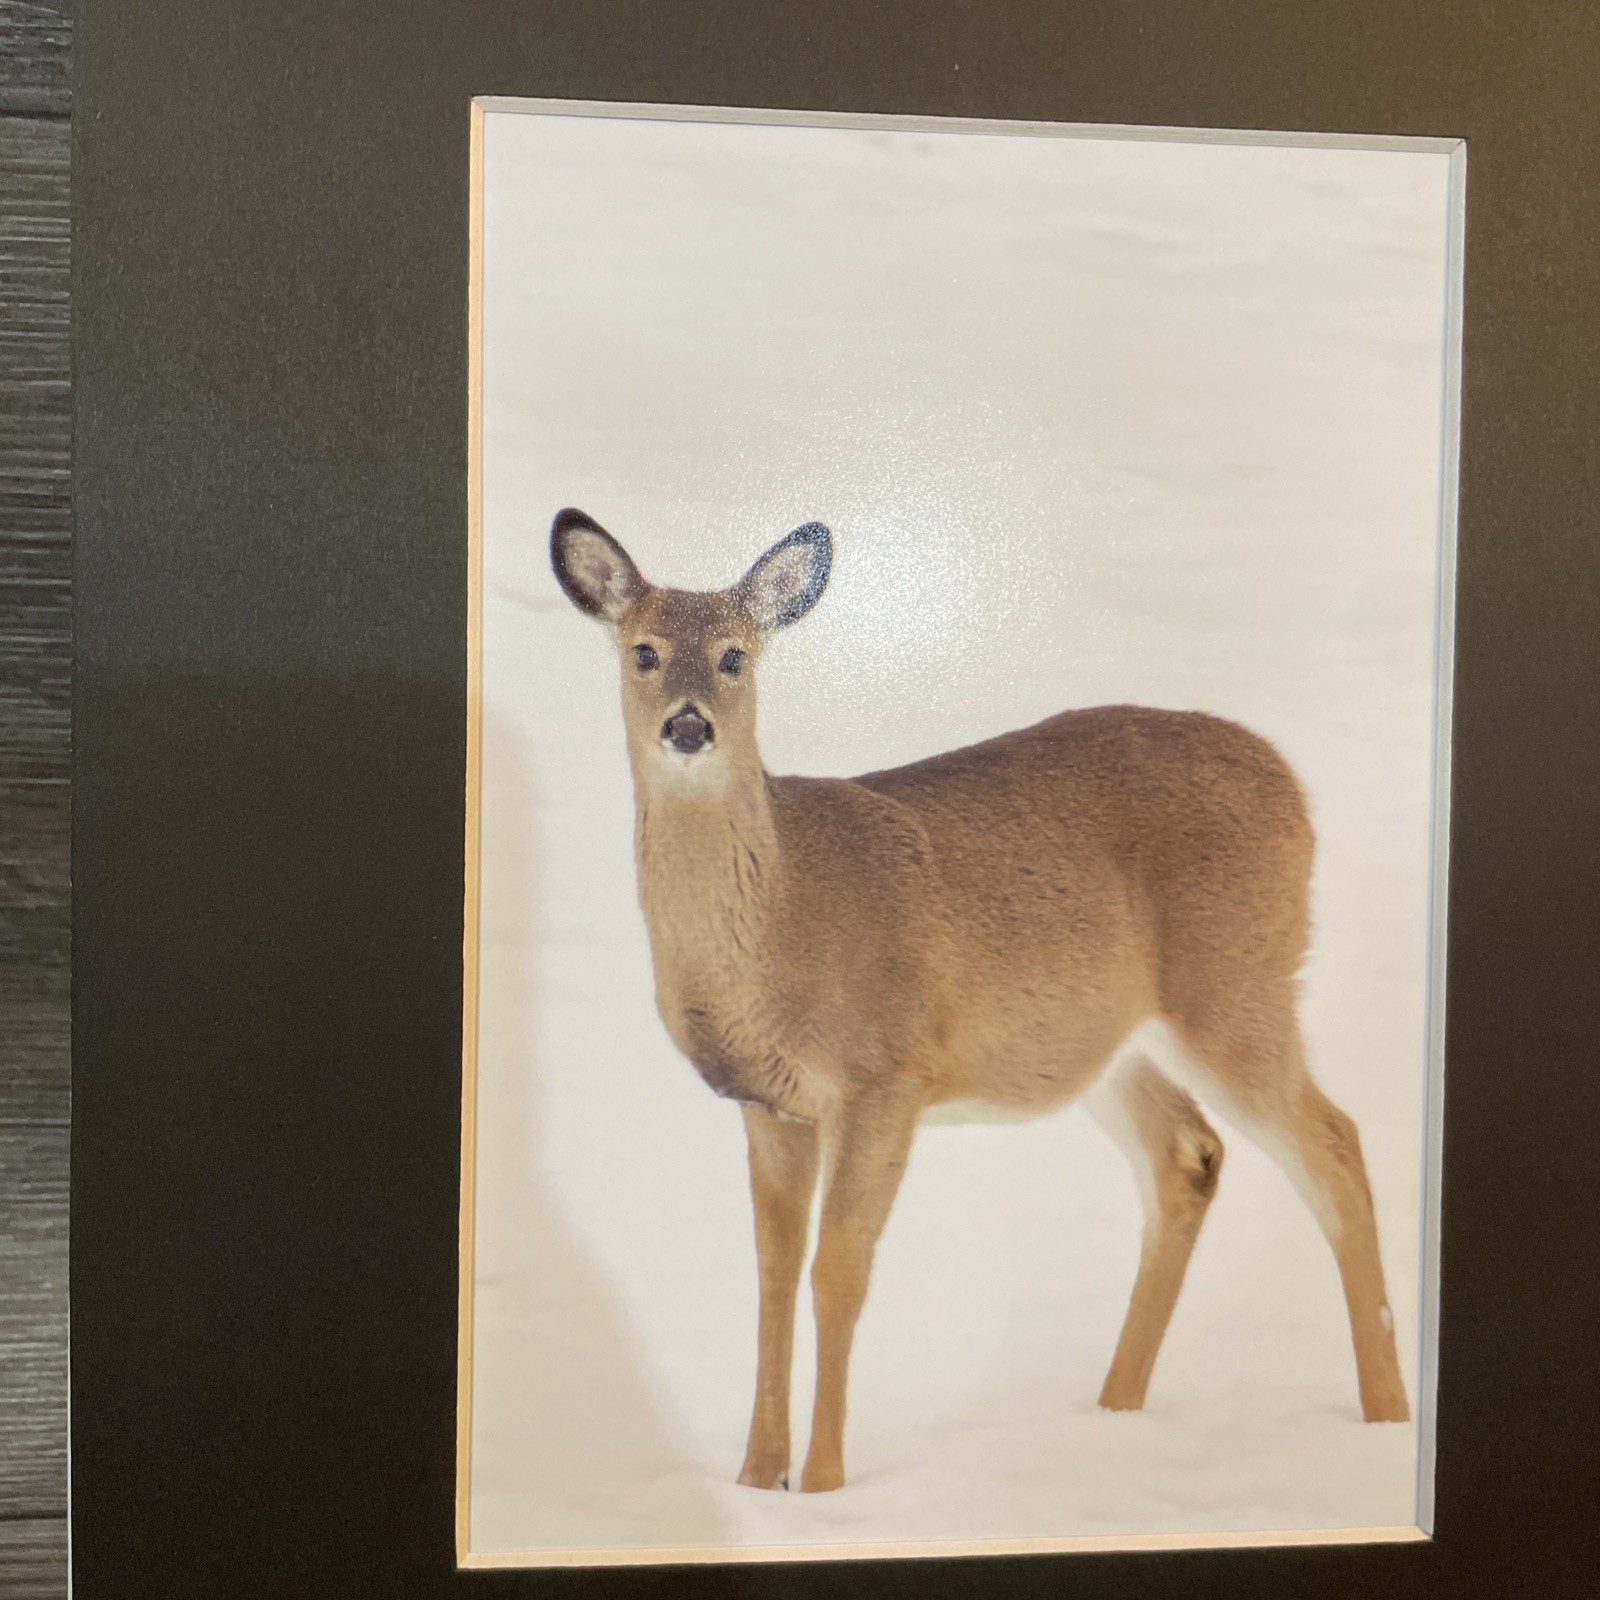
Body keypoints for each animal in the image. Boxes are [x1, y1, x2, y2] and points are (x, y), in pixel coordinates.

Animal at [548, 505, 1410, 1494]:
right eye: (644, 651)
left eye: (735, 656)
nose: (689, 728)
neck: (784, 918)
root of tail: (1295, 785)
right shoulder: (771, 1102)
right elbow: (772, 1275)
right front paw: (756, 1478)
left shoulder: (885, 1072)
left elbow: (839, 1271)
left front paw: (825, 1481)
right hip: (1110, 1043)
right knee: (1188, 1156)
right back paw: (1115, 1409)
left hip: (1238, 984)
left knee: (1334, 1144)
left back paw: (1387, 1413)